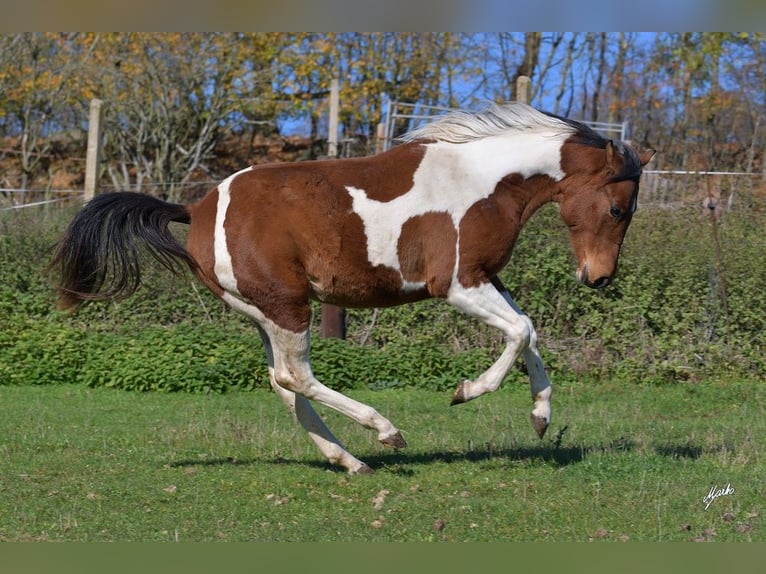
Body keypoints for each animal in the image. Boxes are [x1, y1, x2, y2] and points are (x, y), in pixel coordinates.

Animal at [51, 103, 656, 476]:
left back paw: (348, 460)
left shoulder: (488, 277)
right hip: (288, 305)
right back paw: (385, 433)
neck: (485, 183)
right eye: (618, 208)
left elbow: (529, 332)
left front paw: (540, 417)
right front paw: (466, 392)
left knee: (281, 383)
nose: (599, 277)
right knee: (295, 376)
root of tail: (196, 208)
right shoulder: (456, 284)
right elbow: (521, 330)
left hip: (262, 312)